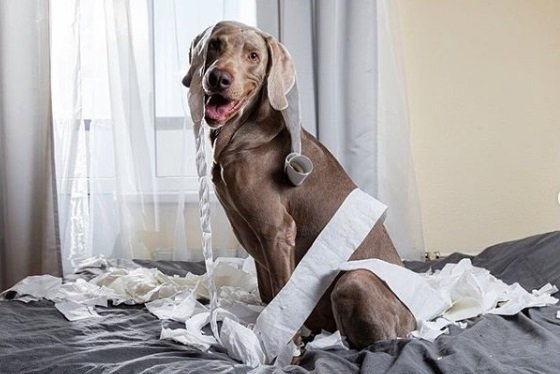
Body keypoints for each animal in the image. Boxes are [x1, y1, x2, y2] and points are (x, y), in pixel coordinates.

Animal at [184, 21, 416, 348]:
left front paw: (284, 347)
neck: (241, 132)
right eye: (215, 44)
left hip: (354, 280)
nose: (218, 78)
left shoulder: (277, 230)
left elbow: (282, 296)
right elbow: (267, 294)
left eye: (253, 56)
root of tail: (414, 323)